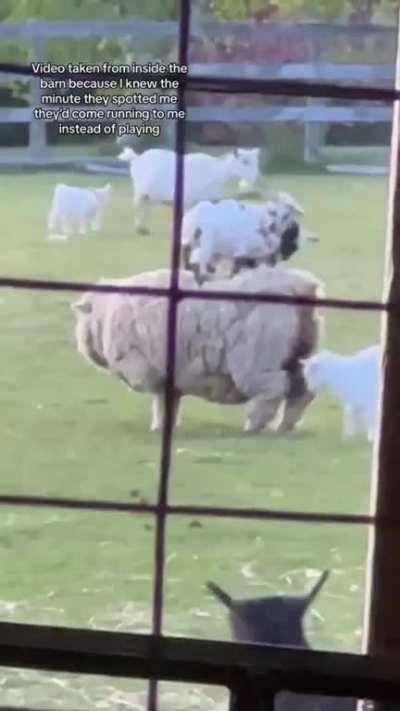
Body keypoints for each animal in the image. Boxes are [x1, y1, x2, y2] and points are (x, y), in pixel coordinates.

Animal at [71, 264, 323, 434]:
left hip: (257, 363)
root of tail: (301, 287)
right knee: (303, 391)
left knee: (273, 390)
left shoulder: (146, 368)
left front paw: (159, 427)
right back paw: (285, 426)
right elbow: (167, 402)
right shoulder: (169, 377)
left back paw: (254, 425)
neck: (105, 311)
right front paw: (164, 426)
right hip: (301, 354)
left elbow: (160, 401)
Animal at [117, 146, 260, 235]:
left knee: (147, 208)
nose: (255, 178)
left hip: (152, 195)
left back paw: (144, 228)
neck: (215, 172)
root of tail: (136, 157)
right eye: (244, 161)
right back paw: (139, 229)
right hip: (139, 189)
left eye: (256, 161)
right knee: (138, 206)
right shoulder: (187, 200)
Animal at [181, 192, 314, 284]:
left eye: (286, 216)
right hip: (204, 240)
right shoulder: (241, 253)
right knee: (195, 260)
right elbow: (235, 270)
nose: (272, 226)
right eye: (272, 212)